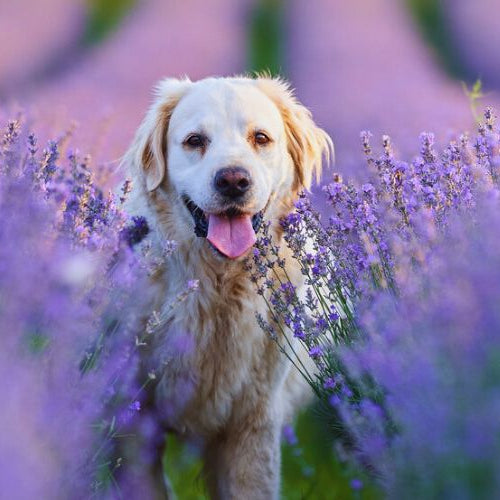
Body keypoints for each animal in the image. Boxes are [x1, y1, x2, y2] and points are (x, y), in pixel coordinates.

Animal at [122, 75, 332, 500]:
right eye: (194, 141)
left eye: (261, 137)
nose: (233, 180)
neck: (217, 288)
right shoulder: (137, 424)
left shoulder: (252, 426)